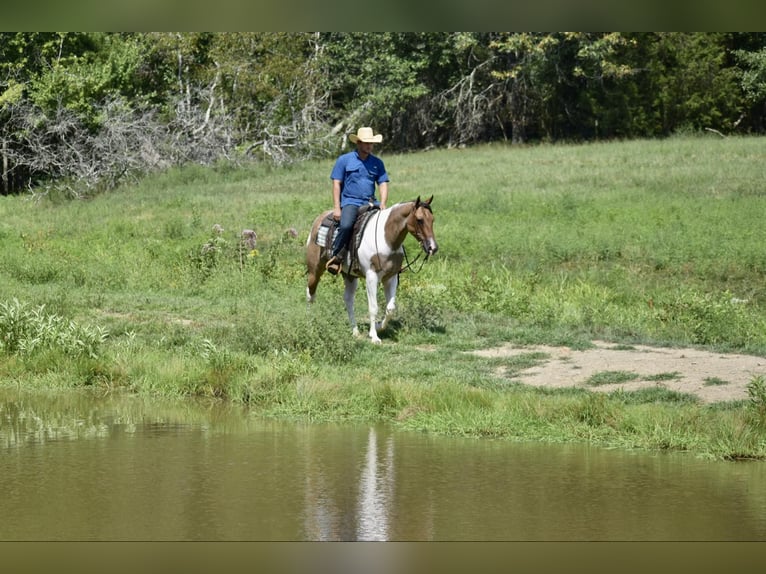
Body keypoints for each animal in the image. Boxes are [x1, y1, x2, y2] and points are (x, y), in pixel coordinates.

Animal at [306, 196, 438, 344]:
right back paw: (310, 323)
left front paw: (379, 326)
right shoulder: (372, 277)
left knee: (348, 299)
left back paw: (355, 331)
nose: (433, 248)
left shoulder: (391, 278)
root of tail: (319, 219)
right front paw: (374, 336)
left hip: (349, 276)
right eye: (420, 219)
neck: (387, 239)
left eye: (432, 220)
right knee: (310, 293)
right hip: (315, 269)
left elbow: (390, 308)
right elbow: (373, 307)